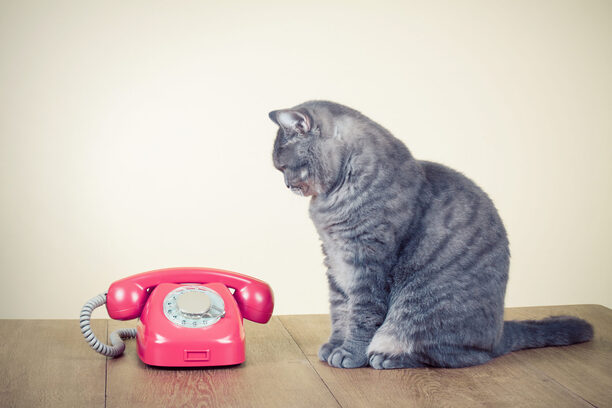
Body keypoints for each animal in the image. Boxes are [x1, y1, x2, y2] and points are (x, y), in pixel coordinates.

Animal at [268, 100, 592, 368]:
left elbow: (362, 314)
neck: (333, 199)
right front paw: (335, 345)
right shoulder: (335, 261)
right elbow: (339, 309)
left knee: (459, 355)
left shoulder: (368, 262)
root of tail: (500, 333)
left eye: (284, 166)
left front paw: (350, 354)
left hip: (420, 310)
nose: (286, 184)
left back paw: (387, 357)